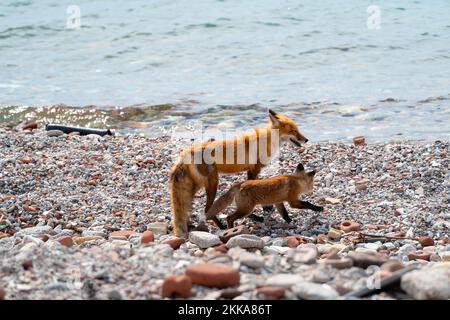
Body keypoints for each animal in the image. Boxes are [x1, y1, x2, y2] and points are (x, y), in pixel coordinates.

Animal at [170, 110, 310, 238]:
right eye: (294, 131)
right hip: (213, 182)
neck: (266, 142)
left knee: (186, 206)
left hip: (197, 185)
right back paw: (224, 225)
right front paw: (260, 211)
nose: (306, 139)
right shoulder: (254, 170)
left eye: (297, 130)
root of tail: (186, 152)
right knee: (206, 208)